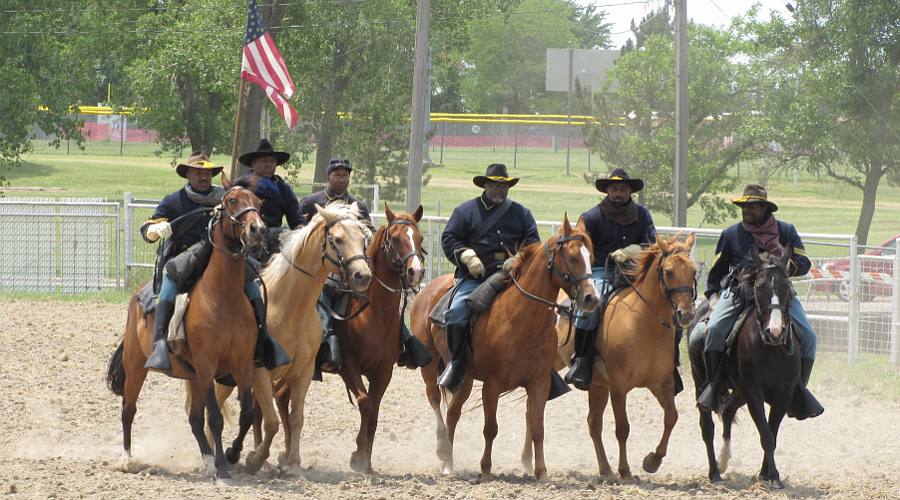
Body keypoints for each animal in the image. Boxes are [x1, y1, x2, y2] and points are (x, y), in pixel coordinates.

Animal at [105, 178, 266, 478]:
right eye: (232, 201)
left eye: (259, 203)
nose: (257, 229)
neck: (224, 298)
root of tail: (137, 295)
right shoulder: (206, 364)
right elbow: (215, 418)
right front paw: (223, 468)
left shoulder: (242, 365)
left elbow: (247, 414)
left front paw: (231, 454)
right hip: (136, 365)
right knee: (128, 409)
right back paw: (127, 458)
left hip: (192, 377)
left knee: (193, 419)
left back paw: (207, 460)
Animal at [220, 201, 374, 474]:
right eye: (337, 239)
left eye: (363, 239)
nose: (362, 276)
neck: (289, 308)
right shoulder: (262, 372)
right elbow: (271, 421)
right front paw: (255, 459)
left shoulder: (303, 372)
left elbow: (296, 418)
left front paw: (292, 463)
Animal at [412, 215, 600, 480]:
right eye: (572, 256)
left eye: (591, 257)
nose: (591, 298)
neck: (522, 320)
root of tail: (427, 291)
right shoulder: (492, 384)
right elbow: (491, 428)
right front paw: (485, 470)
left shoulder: (539, 382)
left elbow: (538, 428)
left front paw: (541, 472)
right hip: (430, 369)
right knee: (435, 400)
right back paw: (444, 453)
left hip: (465, 378)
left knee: (453, 413)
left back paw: (449, 460)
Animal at [556, 234, 704, 480]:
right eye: (668, 272)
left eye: (693, 271)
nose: (686, 314)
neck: (646, 325)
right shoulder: (618, 387)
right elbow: (623, 428)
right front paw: (625, 471)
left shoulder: (661, 383)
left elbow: (671, 417)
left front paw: (652, 461)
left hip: (597, 385)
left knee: (593, 423)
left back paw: (606, 470)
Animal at [688, 246, 800, 488]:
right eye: (759, 286)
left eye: (786, 286)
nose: (775, 330)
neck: (771, 348)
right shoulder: (753, 392)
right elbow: (766, 435)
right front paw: (773, 476)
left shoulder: (783, 395)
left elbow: (772, 433)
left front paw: (766, 473)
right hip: (701, 382)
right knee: (707, 426)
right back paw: (714, 472)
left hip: (738, 390)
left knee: (729, 409)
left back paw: (723, 459)